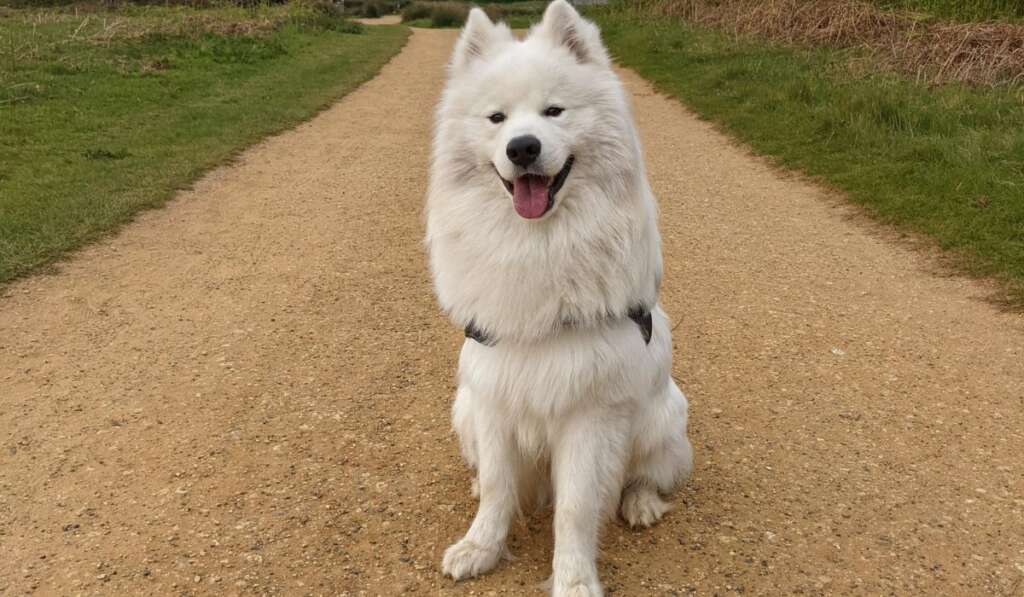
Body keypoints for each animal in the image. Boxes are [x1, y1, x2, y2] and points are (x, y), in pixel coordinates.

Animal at [423, 2, 696, 593]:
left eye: (554, 111)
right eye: (496, 119)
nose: (523, 147)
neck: (538, 246)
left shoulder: (587, 415)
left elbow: (575, 508)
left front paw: (574, 581)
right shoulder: (493, 396)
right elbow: (499, 488)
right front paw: (481, 547)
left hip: (662, 418)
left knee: (648, 474)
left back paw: (641, 503)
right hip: (464, 410)